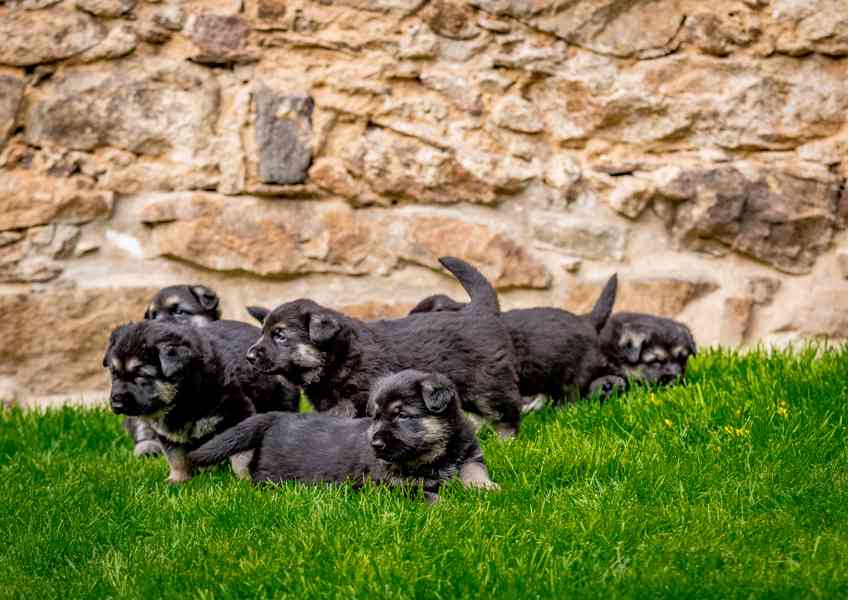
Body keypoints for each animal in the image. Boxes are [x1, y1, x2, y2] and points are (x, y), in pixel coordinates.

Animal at [104, 322, 294, 486]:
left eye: (141, 376)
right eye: (114, 374)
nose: (117, 405)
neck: (184, 397)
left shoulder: (239, 414)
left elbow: (241, 455)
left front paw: (245, 480)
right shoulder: (168, 433)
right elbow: (176, 458)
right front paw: (178, 480)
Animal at [187, 370, 496, 502]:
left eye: (400, 415)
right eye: (376, 416)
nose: (375, 443)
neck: (435, 451)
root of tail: (276, 416)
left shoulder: (470, 452)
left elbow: (474, 470)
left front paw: (486, 488)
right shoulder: (392, 485)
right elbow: (427, 494)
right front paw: (449, 505)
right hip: (274, 474)